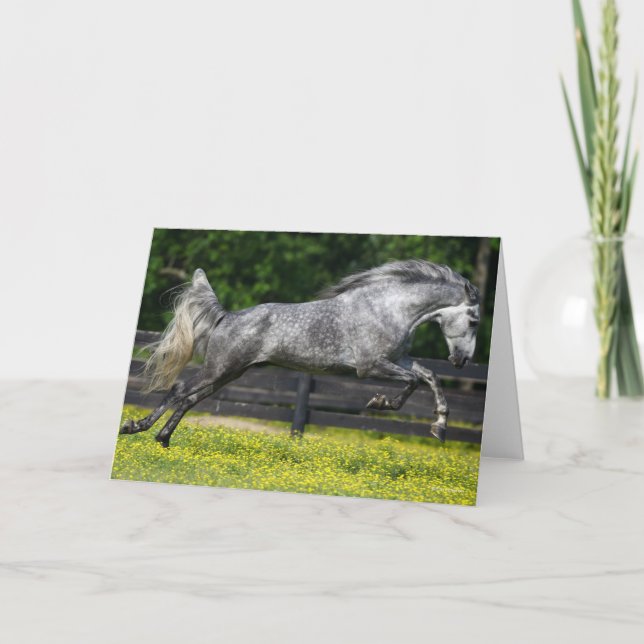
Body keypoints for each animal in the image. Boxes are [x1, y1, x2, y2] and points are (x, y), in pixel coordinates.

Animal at [120, 259, 481, 447]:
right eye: (475, 320)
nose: (461, 361)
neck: (388, 308)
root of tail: (227, 316)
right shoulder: (371, 365)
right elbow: (412, 383)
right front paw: (380, 403)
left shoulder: (397, 360)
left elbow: (430, 377)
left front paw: (440, 427)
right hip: (220, 368)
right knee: (180, 389)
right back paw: (136, 428)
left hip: (231, 372)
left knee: (190, 399)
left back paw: (163, 439)